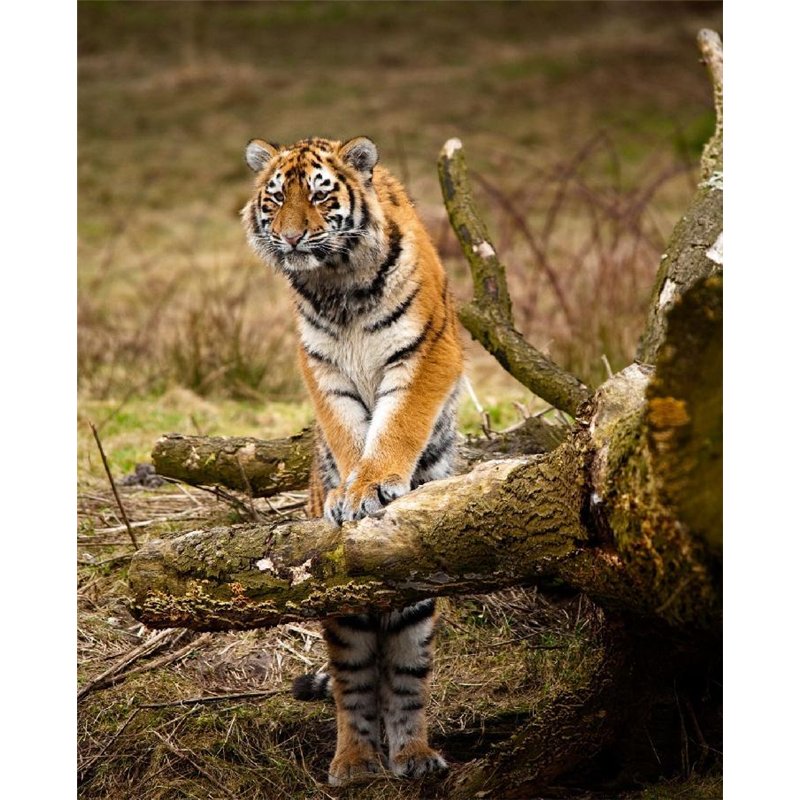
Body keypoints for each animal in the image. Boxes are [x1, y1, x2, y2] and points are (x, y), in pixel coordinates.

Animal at [241, 135, 463, 785]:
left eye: (319, 195)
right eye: (274, 199)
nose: (291, 238)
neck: (336, 284)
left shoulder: (427, 349)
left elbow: (400, 422)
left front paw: (376, 484)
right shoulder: (322, 364)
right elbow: (346, 431)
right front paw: (348, 491)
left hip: (416, 607)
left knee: (406, 683)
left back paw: (413, 756)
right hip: (339, 609)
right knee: (354, 686)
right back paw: (356, 763)